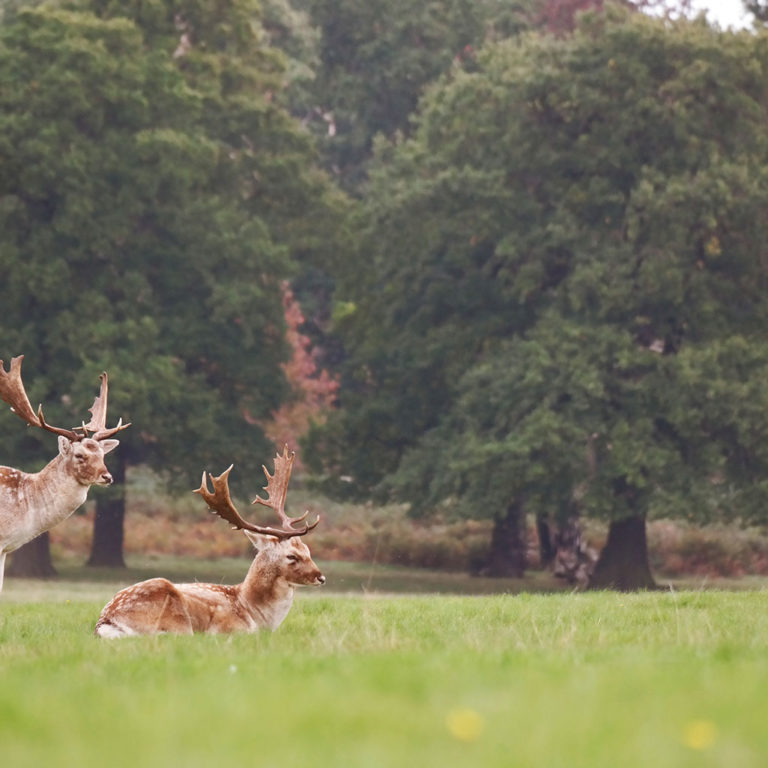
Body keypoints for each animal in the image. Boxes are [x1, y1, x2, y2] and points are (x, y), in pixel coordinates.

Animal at [94, 448, 324, 640]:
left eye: (308, 550)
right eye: (292, 556)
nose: (321, 577)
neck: (254, 612)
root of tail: (105, 622)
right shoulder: (229, 628)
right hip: (176, 619)